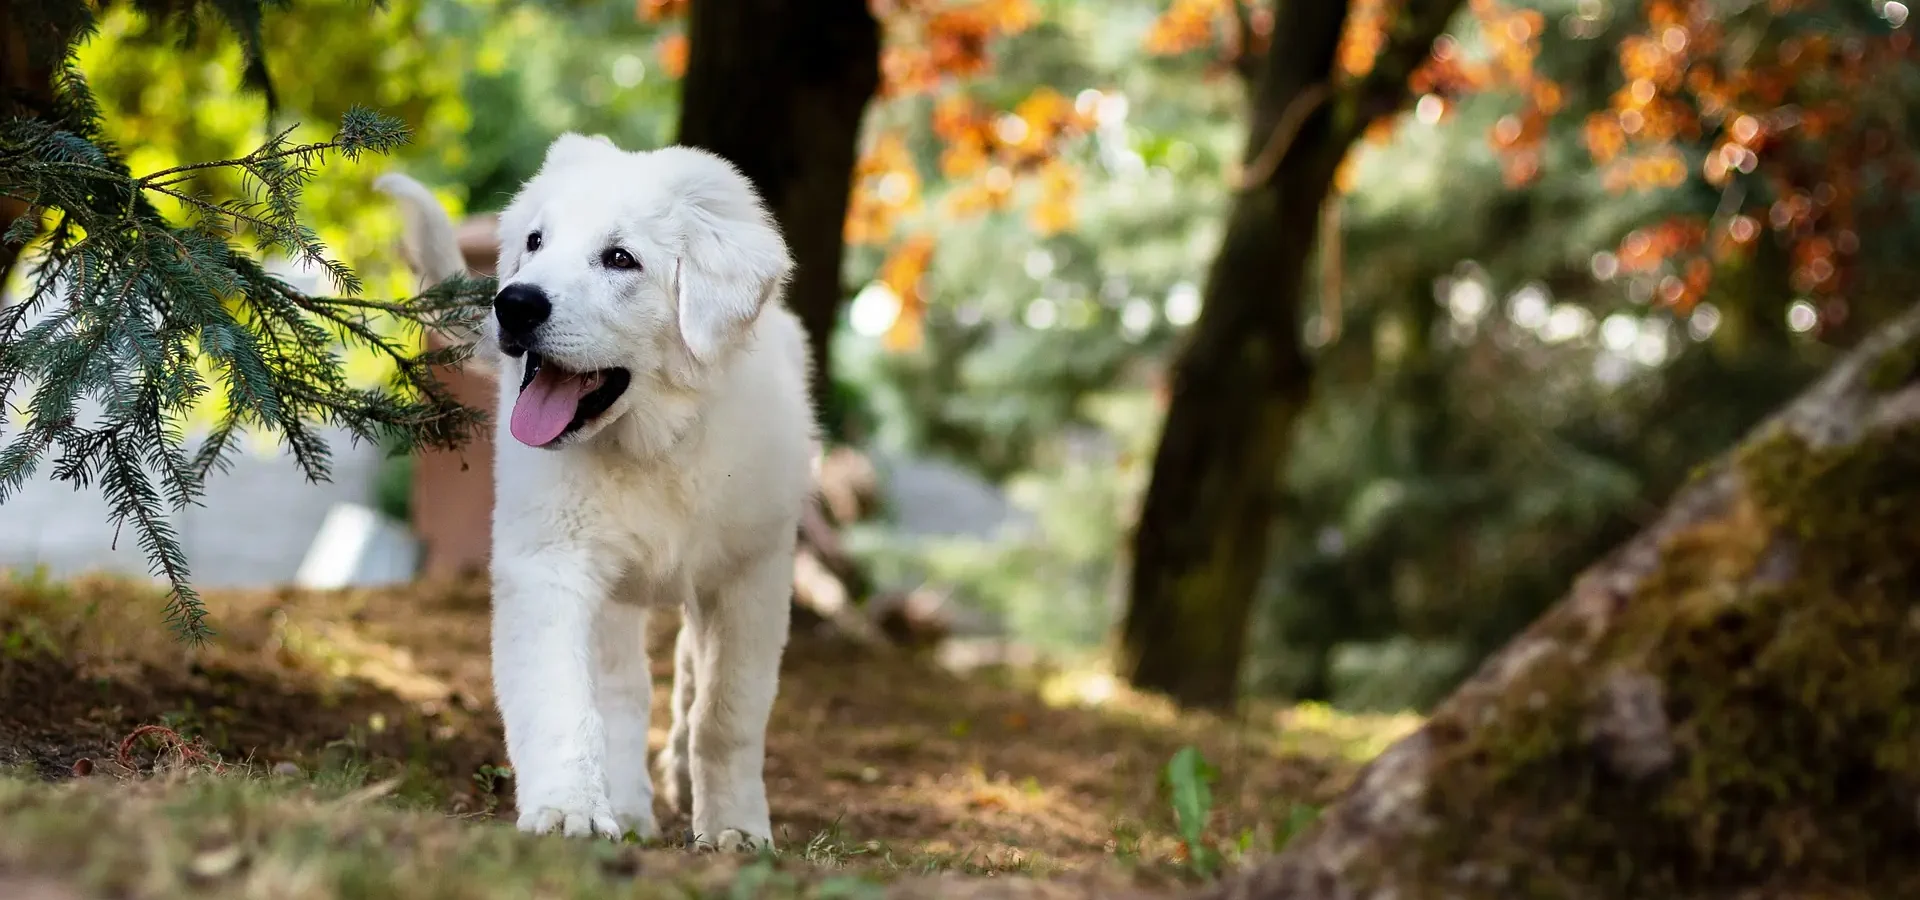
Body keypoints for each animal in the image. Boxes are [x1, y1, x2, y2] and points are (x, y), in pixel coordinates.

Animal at [376, 129, 817, 844]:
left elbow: (726, 713)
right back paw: (630, 808)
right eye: (535, 241)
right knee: (623, 690)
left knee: (686, 676)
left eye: (619, 259)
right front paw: (569, 809)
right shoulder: (551, 562)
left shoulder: (753, 574)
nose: (514, 303)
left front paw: (736, 828)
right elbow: (565, 699)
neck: (655, 443)